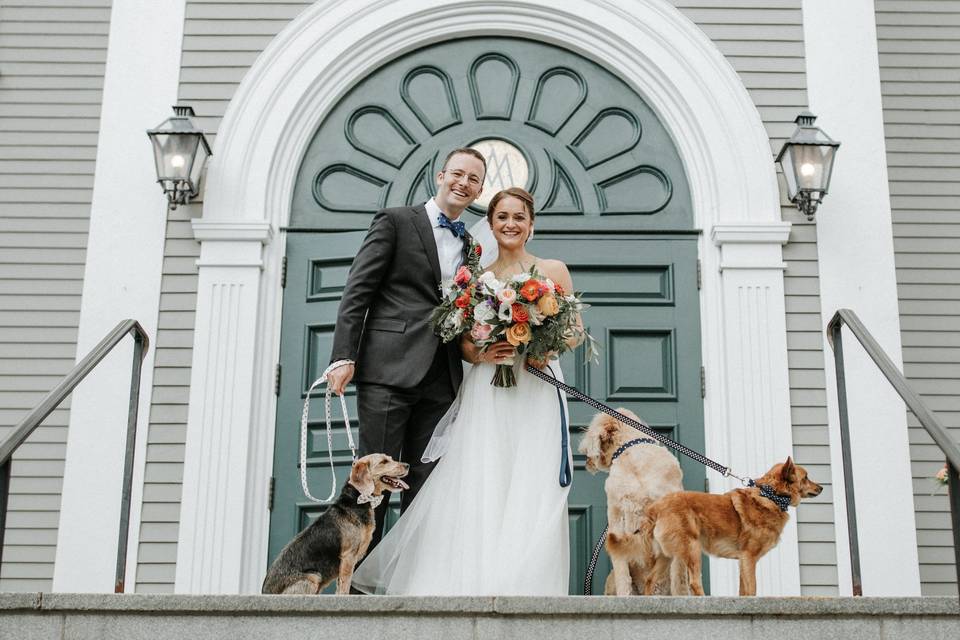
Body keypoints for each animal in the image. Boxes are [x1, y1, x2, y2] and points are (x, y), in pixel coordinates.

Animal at [262, 456, 408, 596]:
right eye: (384, 461)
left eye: (390, 458)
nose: (407, 465)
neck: (357, 501)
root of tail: (264, 592)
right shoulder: (348, 557)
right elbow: (345, 586)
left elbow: (340, 587)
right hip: (313, 577)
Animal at [640, 456, 820, 596]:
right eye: (806, 477)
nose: (822, 487)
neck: (771, 495)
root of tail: (656, 507)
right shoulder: (749, 557)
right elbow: (752, 589)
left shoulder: (743, 561)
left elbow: (743, 591)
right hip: (692, 548)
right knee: (694, 582)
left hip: (666, 555)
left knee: (649, 579)